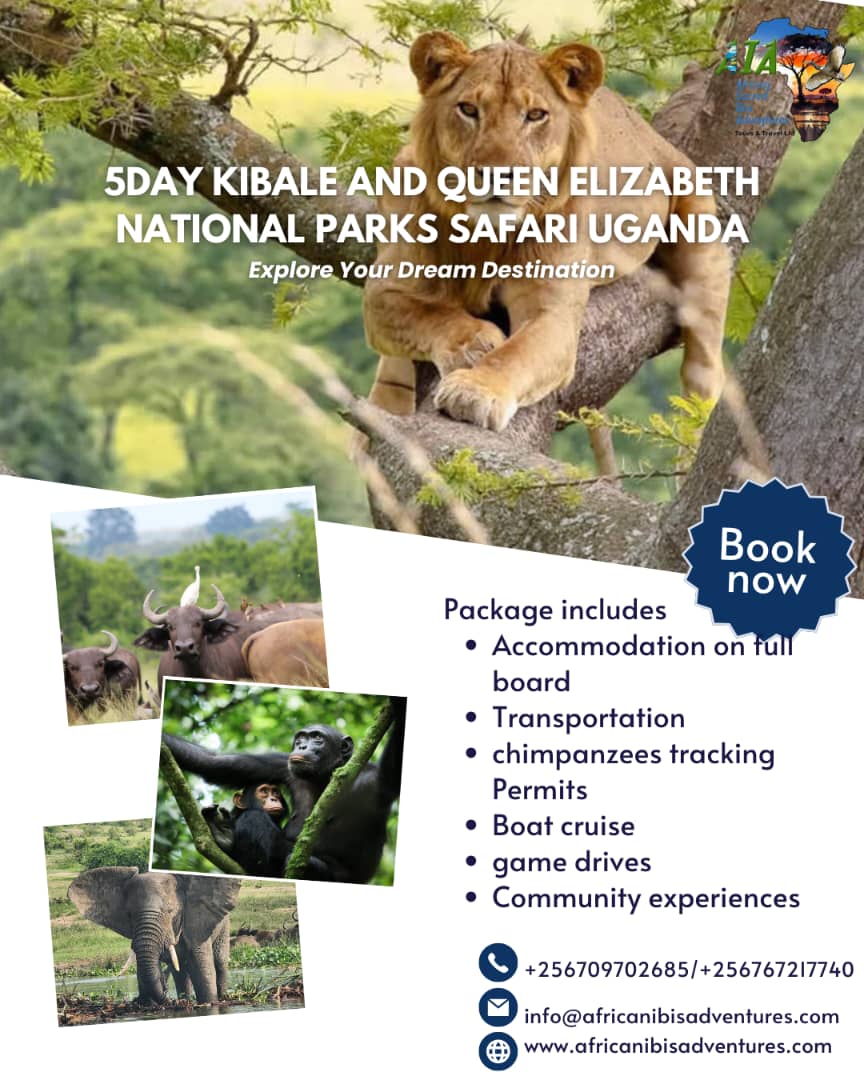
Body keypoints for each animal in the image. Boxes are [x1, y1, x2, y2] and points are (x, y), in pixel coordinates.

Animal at [362, 31, 730, 435]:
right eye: (469, 110)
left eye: (535, 115)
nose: (498, 174)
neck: (485, 236)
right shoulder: (386, 289)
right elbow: (429, 313)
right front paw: (475, 343)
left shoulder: (552, 313)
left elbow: (516, 355)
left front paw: (476, 390)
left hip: (699, 232)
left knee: (704, 360)